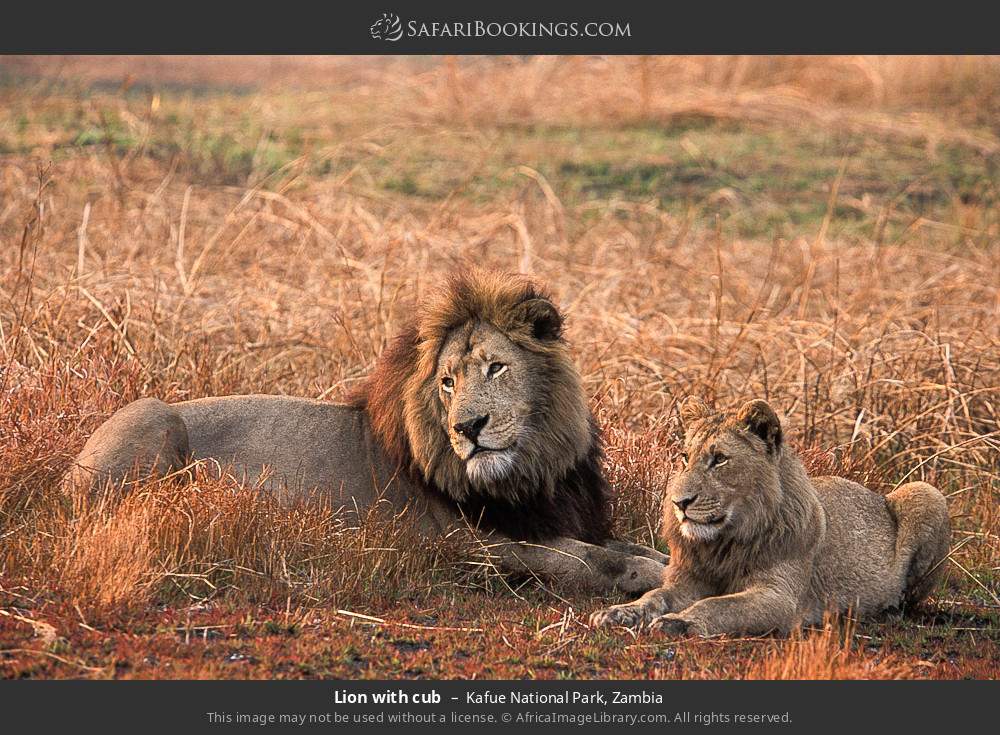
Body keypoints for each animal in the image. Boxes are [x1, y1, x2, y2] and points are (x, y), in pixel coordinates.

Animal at [64, 269, 666, 595]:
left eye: (496, 368)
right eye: (447, 382)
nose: (467, 427)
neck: (534, 471)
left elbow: (619, 545)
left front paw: (663, 562)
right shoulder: (471, 545)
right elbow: (582, 560)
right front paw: (646, 576)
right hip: (154, 413)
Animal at [590, 398, 951, 636]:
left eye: (719, 459)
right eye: (683, 457)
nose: (680, 502)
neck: (725, 543)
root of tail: (872, 492)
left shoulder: (780, 598)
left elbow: (720, 606)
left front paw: (678, 622)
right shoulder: (687, 581)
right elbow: (655, 596)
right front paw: (619, 613)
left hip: (926, 493)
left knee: (910, 599)